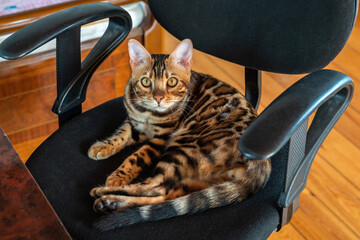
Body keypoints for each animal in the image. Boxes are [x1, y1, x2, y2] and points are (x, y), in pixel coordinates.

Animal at [88, 39, 272, 231]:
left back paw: (103, 193)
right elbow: (121, 134)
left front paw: (118, 177)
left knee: (157, 185)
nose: (158, 98)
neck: (147, 113)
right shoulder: (134, 122)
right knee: (169, 194)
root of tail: (262, 164)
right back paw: (109, 204)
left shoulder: (162, 137)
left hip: (183, 146)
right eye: (146, 82)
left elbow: (136, 156)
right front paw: (102, 147)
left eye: (172, 82)